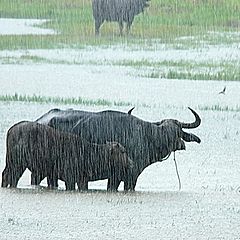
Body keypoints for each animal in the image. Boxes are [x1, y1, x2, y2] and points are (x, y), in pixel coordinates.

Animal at [0, 121, 132, 190]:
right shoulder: (71, 177)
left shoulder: (82, 179)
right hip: (17, 163)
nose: (131, 163)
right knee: (11, 176)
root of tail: (10, 130)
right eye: (123, 151)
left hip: (13, 163)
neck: (91, 154)